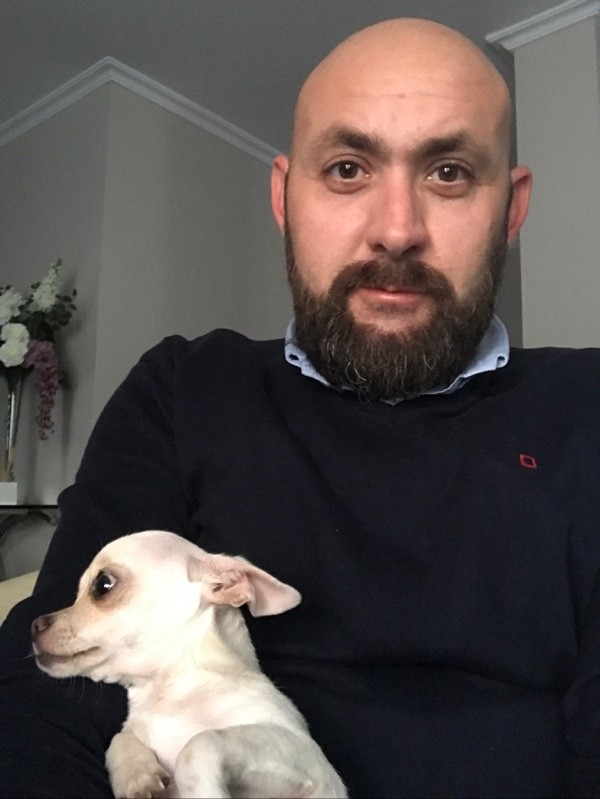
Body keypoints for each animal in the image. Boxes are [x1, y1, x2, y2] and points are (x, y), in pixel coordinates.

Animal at [31, 530, 347, 798]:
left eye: (103, 585)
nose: (34, 625)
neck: (166, 693)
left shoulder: (306, 757)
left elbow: (199, 743)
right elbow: (118, 739)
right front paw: (136, 775)